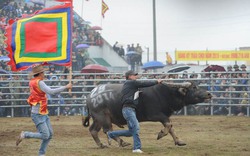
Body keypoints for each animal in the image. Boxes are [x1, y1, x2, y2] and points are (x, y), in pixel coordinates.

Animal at [83, 81, 212, 148]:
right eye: (194, 87)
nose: (209, 94)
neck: (165, 93)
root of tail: (90, 95)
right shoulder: (156, 115)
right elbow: (168, 125)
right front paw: (160, 134)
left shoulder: (164, 116)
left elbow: (171, 127)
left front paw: (179, 141)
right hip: (102, 117)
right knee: (107, 130)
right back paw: (122, 142)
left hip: (97, 119)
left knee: (93, 130)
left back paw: (101, 145)